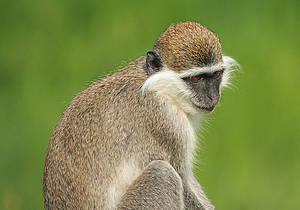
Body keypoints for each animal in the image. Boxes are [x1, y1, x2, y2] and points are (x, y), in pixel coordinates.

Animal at [42, 22, 239, 209]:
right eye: (197, 78)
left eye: (215, 74)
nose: (212, 96)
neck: (157, 85)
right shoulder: (165, 122)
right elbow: (182, 179)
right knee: (162, 172)